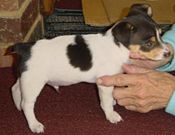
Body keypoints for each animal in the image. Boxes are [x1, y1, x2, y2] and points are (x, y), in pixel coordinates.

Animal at [8, 3, 171, 133]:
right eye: (149, 43)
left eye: (161, 35)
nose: (169, 53)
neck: (117, 47)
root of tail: (25, 48)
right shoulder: (104, 83)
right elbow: (106, 102)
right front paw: (111, 115)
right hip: (34, 82)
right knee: (27, 104)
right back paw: (34, 124)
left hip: (26, 78)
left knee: (15, 88)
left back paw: (17, 106)